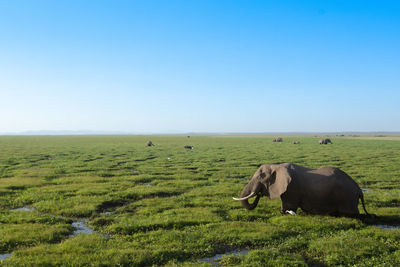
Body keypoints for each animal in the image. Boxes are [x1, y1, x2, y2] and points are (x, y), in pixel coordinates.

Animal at [233, 162, 374, 219]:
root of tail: (359, 189)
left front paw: (284, 213)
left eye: (260, 176)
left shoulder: (292, 188)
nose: (260, 192)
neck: (277, 166)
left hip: (347, 197)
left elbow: (287, 207)